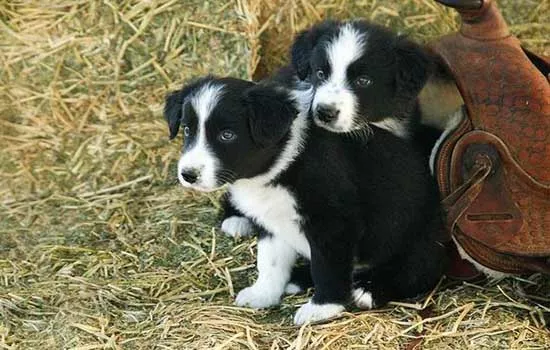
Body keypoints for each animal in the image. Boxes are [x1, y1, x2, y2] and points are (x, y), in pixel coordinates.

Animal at [164, 75, 448, 324]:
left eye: (227, 135)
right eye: (187, 130)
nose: (188, 174)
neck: (282, 166)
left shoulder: (333, 223)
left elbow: (328, 267)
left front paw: (322, 308)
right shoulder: (272, 221)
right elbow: (270, 261)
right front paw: (263, 293)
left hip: (422, 240)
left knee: (417, 272)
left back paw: (369, 290)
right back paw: (298, 279)